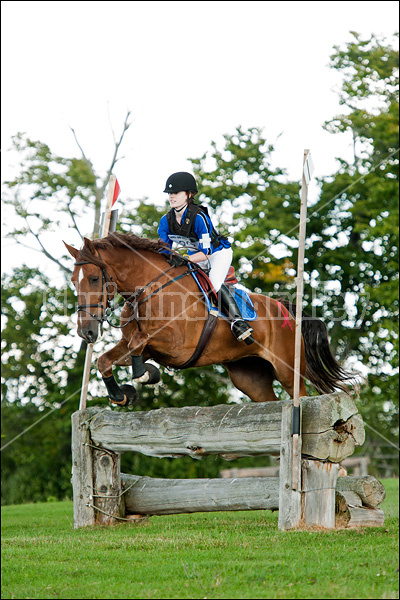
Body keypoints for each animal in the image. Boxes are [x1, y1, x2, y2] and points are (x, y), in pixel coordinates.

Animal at [64, 231, 358, 408]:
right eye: (73, 281)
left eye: (94, 279)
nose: (86, 333)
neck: (149, 290)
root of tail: (288, 311)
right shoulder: (141, 347)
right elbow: (105, 360)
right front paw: (122, 394)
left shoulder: (176, 346)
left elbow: (139, 342)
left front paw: (146, 375)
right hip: (249, 377)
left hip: (288, 371)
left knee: (301, 396)